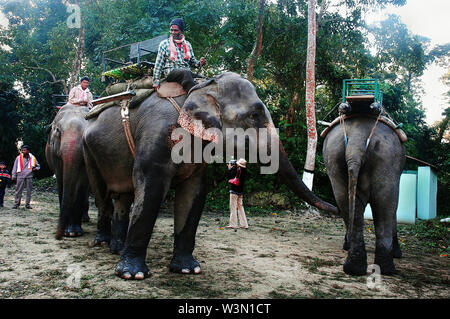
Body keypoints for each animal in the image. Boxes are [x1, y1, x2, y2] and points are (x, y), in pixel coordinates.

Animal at [45, 105, 91, 240]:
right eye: (58, 131)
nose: (57, 236)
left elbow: (82, 183)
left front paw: (73, 233)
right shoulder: (54, 153)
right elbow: (61, 179)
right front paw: (67, 232)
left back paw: (85, 219)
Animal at [83, 71, 338, 282]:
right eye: (254, 115)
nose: (337, 209)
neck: (200, 86)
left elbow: (193, 194)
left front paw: (187, 269)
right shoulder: (156, 135)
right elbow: (151, 191)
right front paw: (132, 274)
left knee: (122, 197)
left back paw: (115, 247)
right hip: (88, 152)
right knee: (102, 197)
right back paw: (102, 242)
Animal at [322, 116, 406, 276]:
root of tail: (357, 139)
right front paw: (397, 253)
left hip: (333, 156)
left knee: (347, 202)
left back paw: (354, 268)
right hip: (388, 157)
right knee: (385, 205)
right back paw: (387, 269)